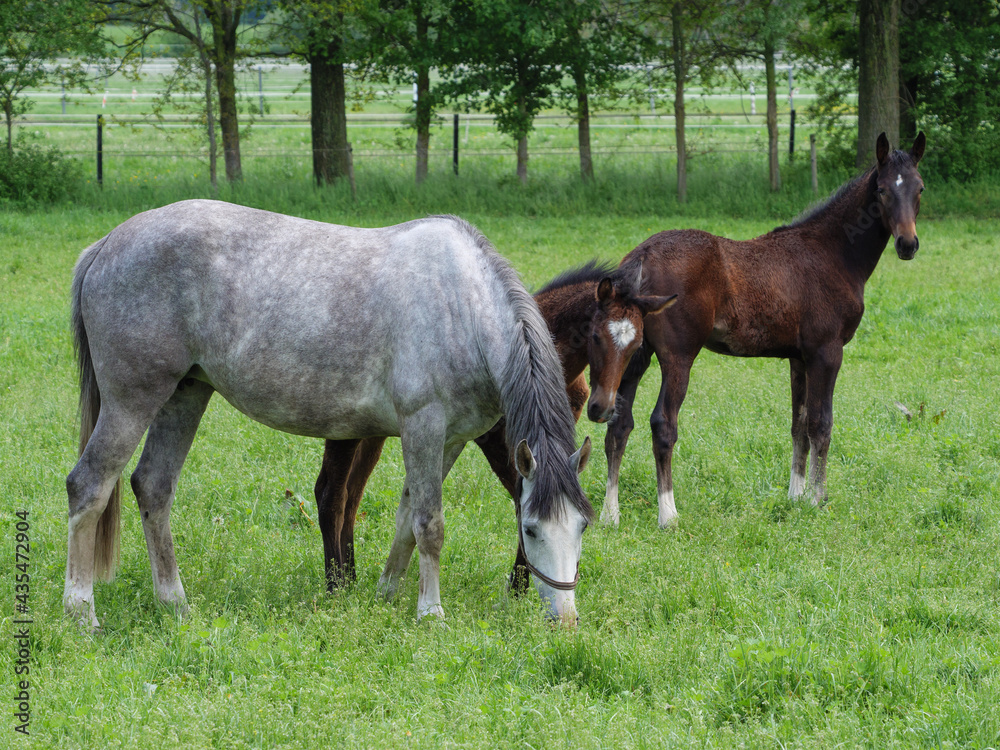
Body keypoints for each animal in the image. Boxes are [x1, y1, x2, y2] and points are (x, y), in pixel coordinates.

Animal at [66, 203, 592, 632]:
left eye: (582, 527)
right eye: (530, 528)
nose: (565, 619)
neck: (460, 304)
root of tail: (105, 245)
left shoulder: (451, 440)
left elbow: (406, 519)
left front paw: (386, 594)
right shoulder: (423, 426)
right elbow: (430, 524)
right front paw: (431, 613)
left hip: (184, 395)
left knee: (154, 487)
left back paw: (175, 605)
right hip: (131, 402)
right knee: (88, 485)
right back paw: (81, 612)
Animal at [316, 264, 676, 592]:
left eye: (638, 345)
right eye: (597, 335)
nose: (603, 409)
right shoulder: (502, 444)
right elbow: (523, 502)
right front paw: (520, 585)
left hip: (372, 432)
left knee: (352, 495)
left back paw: (350, 576)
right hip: (345, 428)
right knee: (331, 492)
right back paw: (338, 585)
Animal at [592, 134, 928, 528]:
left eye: (919, 188)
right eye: (882, 190)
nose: (907, 244)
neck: (832, 253)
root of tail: (642, 255)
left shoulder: (799, 358)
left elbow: (799, 424)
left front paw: (796, 496)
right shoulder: (827, 352)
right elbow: (821, 423)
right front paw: (818, 499)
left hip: (634, 355)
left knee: (618, 424)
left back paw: (610, 514)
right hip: (678, 356)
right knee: (663, 423)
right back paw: (668, 514)